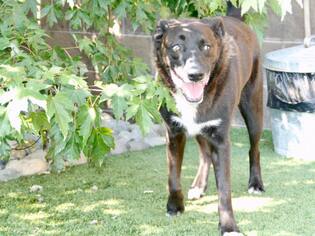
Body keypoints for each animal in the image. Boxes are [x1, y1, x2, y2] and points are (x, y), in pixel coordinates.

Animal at [154, 13, 266, 235]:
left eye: (206, 46)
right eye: (176, 47)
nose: (195, 74)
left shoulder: (220, 140)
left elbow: (224, 190)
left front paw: (228, 226)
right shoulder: (174, 132)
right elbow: (173, 176)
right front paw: (175, 206)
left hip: (253, 109)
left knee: (254, 149)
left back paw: (256, 183)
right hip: (201, 129)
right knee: (205, 154)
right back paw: (199, 186)